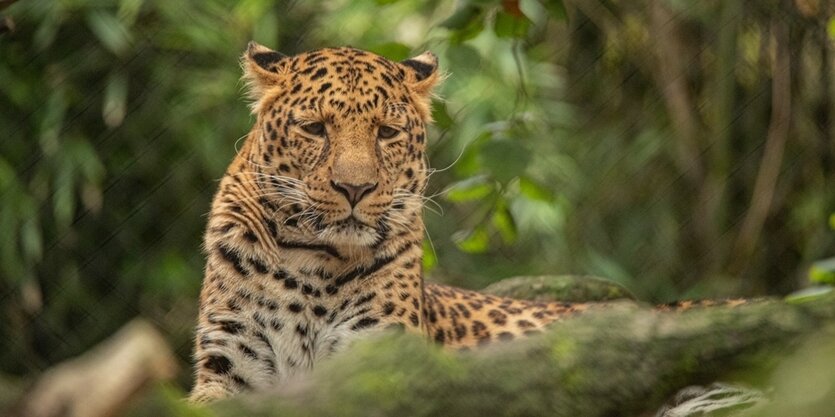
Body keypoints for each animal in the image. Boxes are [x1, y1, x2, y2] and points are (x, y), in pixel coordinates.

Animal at [190, 43, 596, 404]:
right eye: (315, 129)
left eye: (386, 132)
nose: (355, 188)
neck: (311, 264)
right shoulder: (231, 361)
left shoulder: (382, 356)